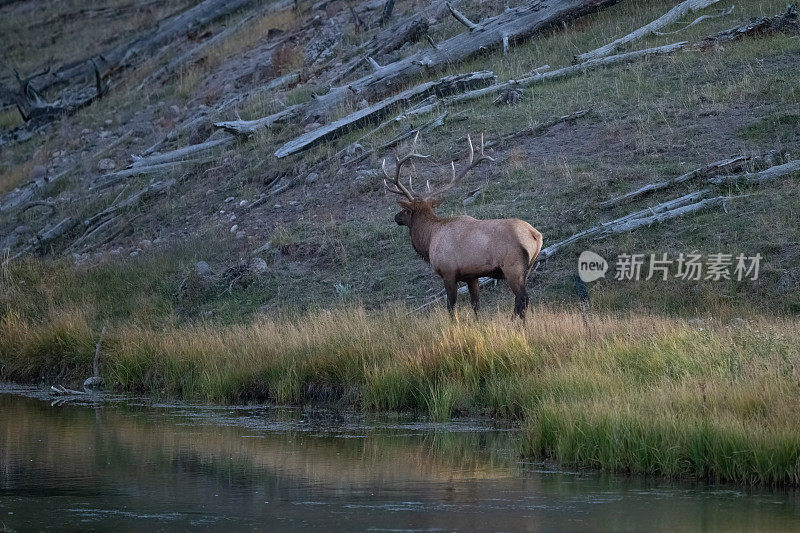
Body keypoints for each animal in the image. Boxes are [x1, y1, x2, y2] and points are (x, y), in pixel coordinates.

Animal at [382, 132, 544, 320]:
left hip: (513, 267)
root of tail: (536, 235)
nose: (396, 217)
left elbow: (451, 307)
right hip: (528, 268)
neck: (429, 240)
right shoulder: (471, 276)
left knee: (522, 298)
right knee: (523, 300)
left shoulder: (448, 272)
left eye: (405, 210)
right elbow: (476, 306)